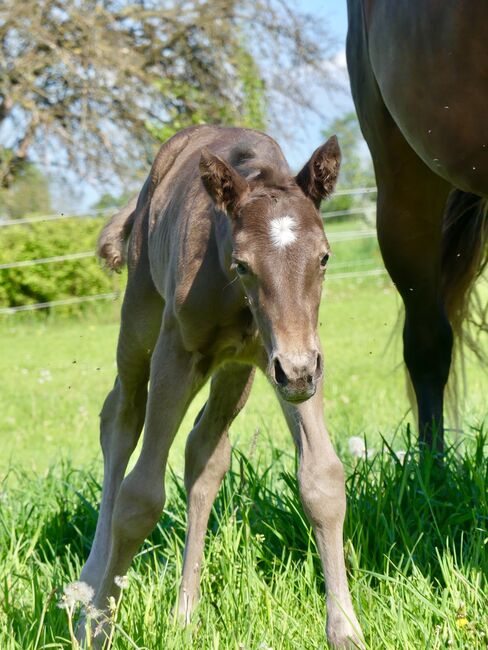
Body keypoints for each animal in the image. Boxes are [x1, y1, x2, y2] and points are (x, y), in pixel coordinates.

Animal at [79, 126, 362, 648]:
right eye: (244, 264)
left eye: (324, 257)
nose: (298, 372)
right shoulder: (176, 355)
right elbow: (140, 496)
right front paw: (98, 627)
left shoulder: (290, 358)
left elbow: (322, 481)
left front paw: (346, 630)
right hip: (140, 318)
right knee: (120, 418)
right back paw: (89, 588)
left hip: (239, 372)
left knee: (204, 453)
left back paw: (184, 616)